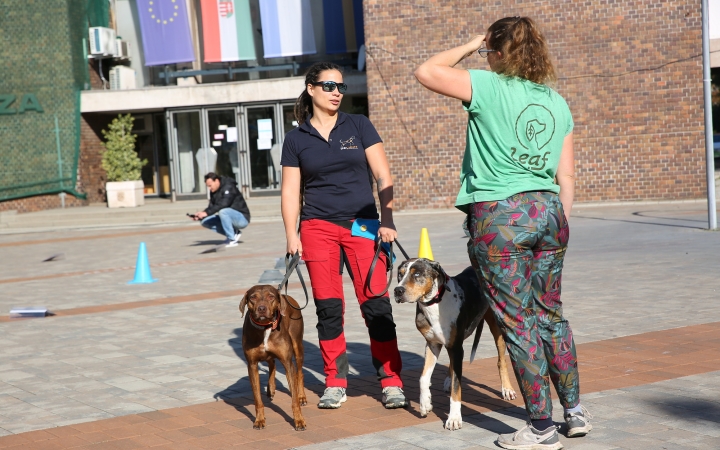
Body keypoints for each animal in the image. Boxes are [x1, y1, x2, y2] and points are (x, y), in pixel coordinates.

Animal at [238, 286, 306, 430]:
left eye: (271, 296)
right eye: (253, 297)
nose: (261, 309)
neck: (265, 328)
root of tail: (287, 297)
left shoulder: (287, 362)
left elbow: (294, 399)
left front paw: (299, 420)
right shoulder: (252, 364)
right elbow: (258, 399)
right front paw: (259, 420)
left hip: (297, 345)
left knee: (299, 372)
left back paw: (302, 396)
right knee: (272, 362)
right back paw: (271, 388)